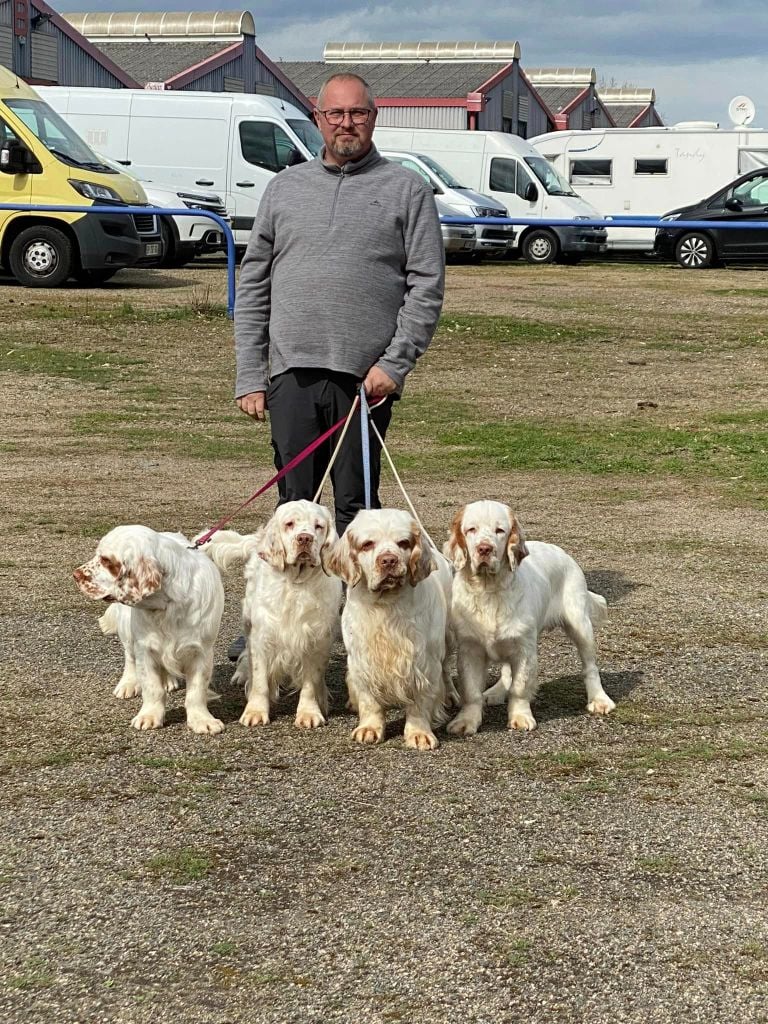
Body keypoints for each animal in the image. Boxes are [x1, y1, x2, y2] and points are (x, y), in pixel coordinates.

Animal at [72, 524, 225, 733]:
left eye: (106, 560)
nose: (75, 575)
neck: (168, 606)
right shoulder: (145, 648)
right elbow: (152, 687)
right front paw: (149, 716)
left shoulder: (201, 651)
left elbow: (197, 690)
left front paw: (202, 720)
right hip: (127, 631)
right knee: (129, 657)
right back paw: (128, 684)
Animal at [202, 501, 342, 729]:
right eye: (289, 524)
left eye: (319, 526)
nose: (305, 538)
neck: (296, 583)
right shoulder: (263, 635)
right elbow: (260, 680)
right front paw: (255, 712)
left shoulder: (316, 638)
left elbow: (310, 683)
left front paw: (309, 713)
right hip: (249, 619)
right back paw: (242, 674)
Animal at [327, 507, 454, 749]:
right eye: (367, 544)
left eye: (403, 543)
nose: (388, 560)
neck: (386, 604)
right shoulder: (362, 659)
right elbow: (369, 700)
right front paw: (369, 728)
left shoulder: (422, 662)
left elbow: (420, 703)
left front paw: (419, 733)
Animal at [444, 497, 614, 733]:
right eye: (471, 529)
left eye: (500, 530)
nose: (484, 549)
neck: (490, 590)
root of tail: (564, 554)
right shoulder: (470, 649)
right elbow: (471, 691)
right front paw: (466, 721)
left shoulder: (524, 648)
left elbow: (520, 686)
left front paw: (520, 716)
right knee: (506, 672)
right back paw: (496, 692)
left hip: (580, 625)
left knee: (590, 667)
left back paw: (599, 700)